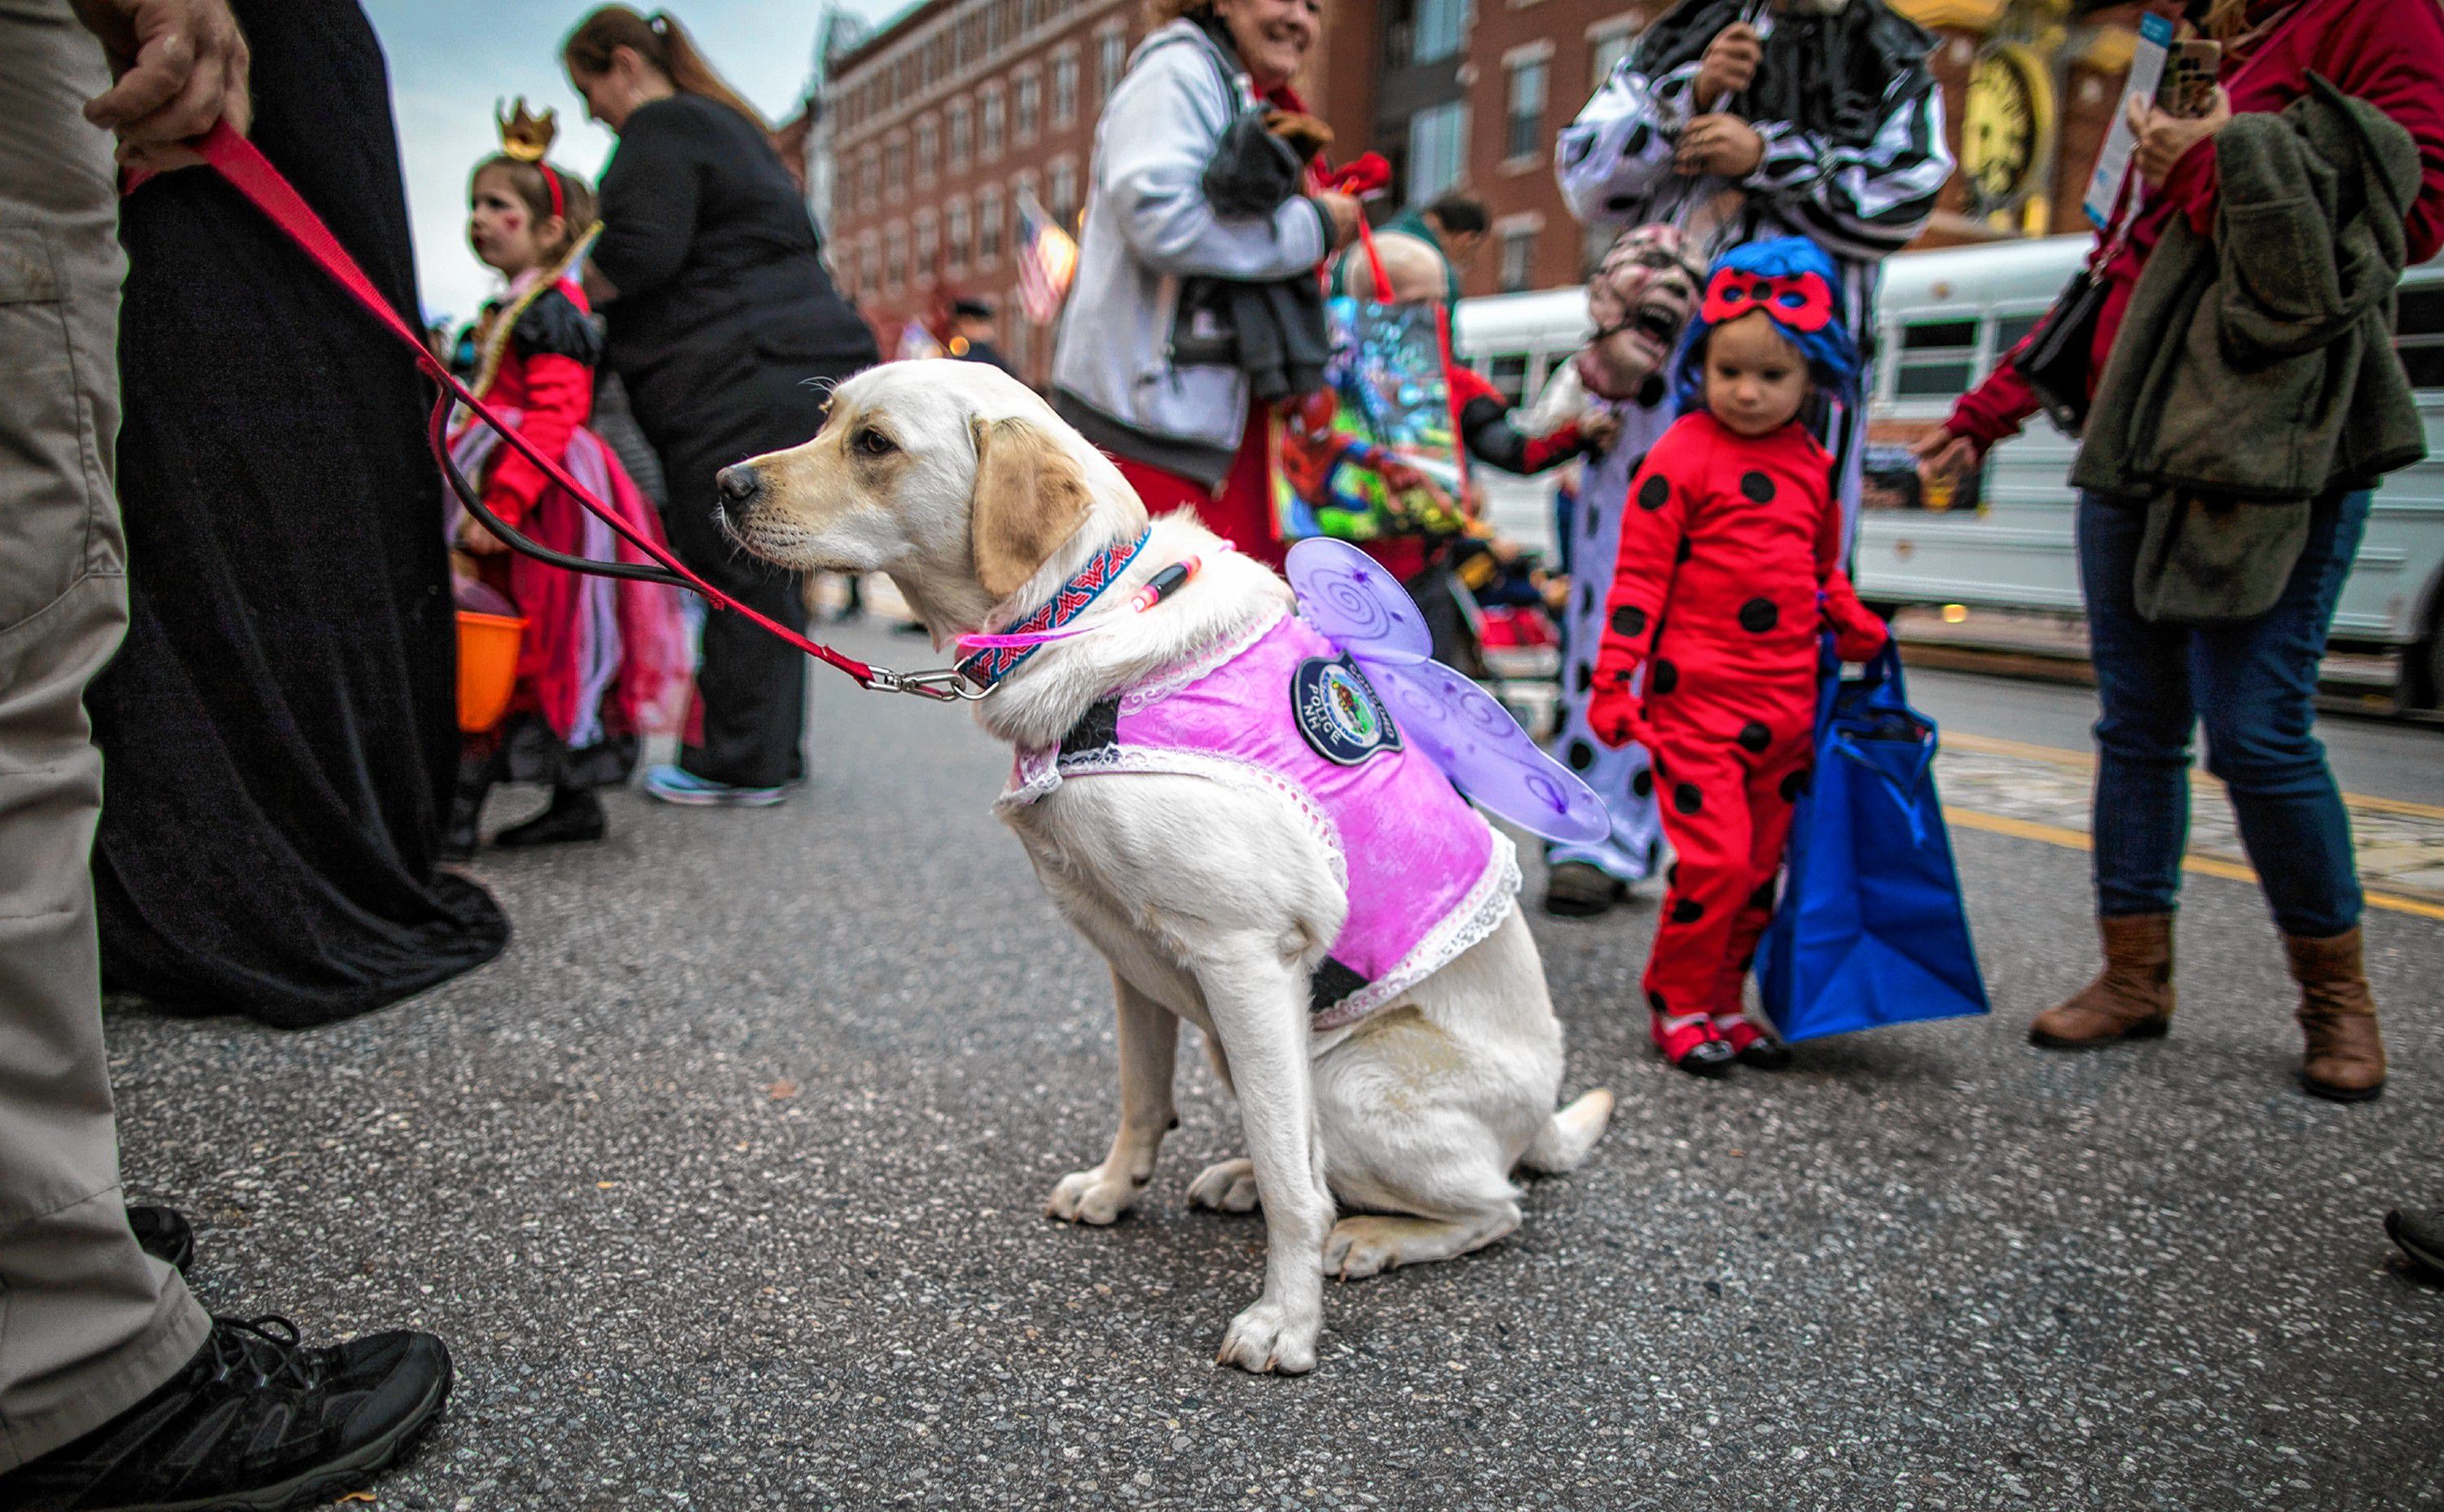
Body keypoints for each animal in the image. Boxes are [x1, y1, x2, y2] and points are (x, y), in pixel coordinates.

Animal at [714, 363, 1613, 1368]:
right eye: (826, 417)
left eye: (874, 444)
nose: (725, 484)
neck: (1079, 614)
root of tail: (1541, 1121)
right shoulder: (1129, 952)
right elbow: (1144, 1098)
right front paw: (1115, 1190)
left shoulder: (1242, 956)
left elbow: (1296, 1186)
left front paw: (1284, 1320)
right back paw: (1242, 1178)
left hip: (1347, 1078)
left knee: (1486, 1204)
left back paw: (1370, 1235)